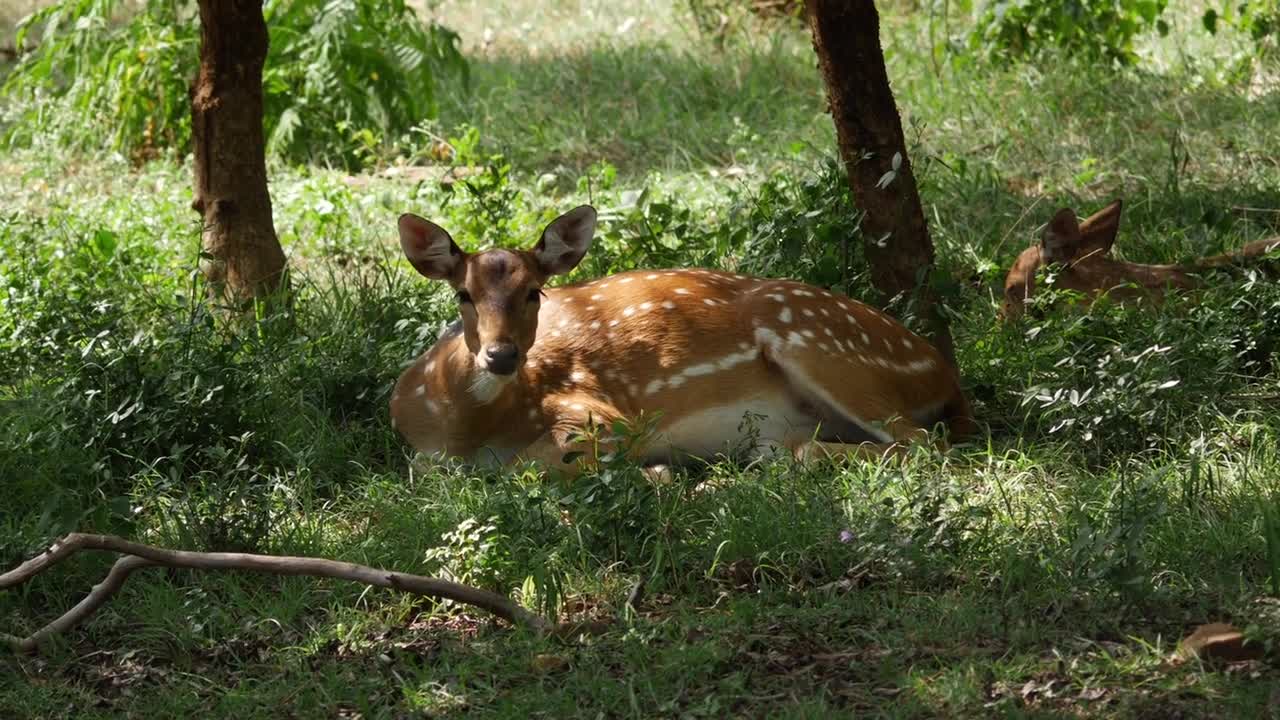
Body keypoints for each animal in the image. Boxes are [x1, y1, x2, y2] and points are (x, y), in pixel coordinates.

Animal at [386, 203, 967, 476]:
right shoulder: (422, 457)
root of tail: (943, 370)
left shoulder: (600, 412)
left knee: (926, 443)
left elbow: (527, 466)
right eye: (462, 293)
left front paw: (658, 473)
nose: (502, 354)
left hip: (818, 343)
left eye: (535, 291)